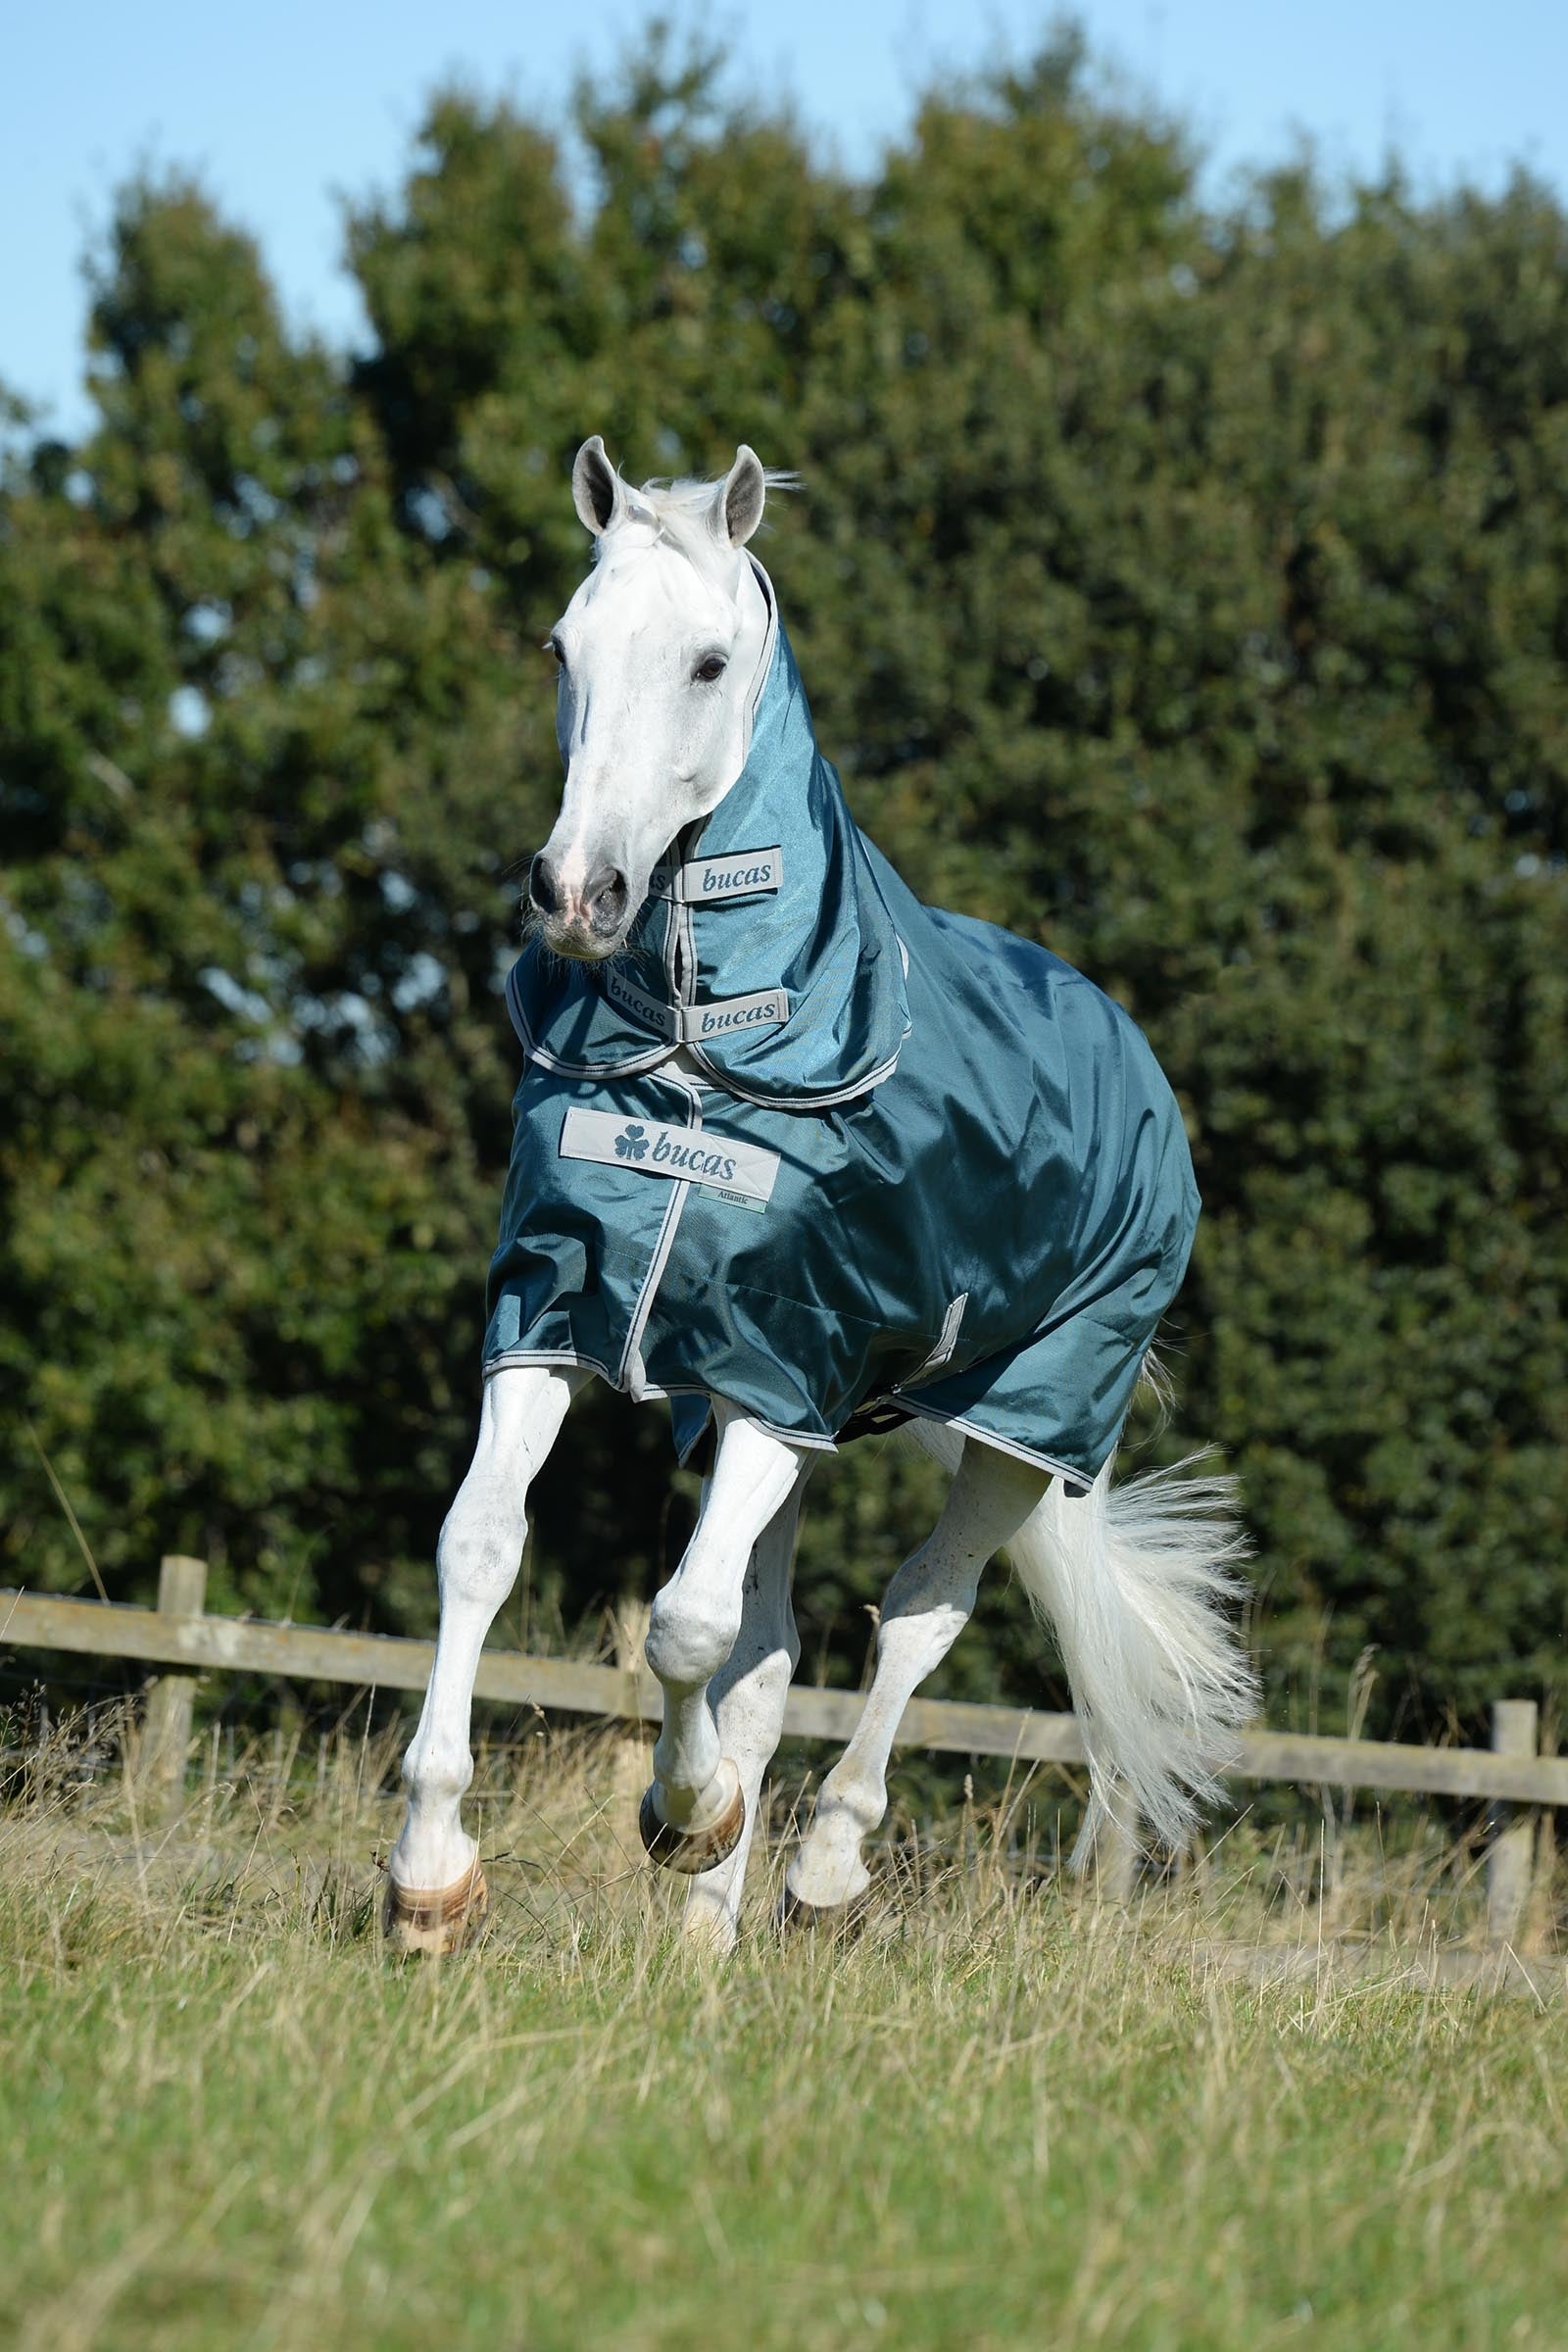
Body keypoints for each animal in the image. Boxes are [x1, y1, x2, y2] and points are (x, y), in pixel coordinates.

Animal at [383, 439, 1256, 1955]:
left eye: (709, 661)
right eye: (562, 645)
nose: (576, 891)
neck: (701, 1045)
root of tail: (1127, 1049)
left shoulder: (778, 1365)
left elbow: (683, 1624)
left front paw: (681, 1815)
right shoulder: (560, 1318)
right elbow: (484, 1550)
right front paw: (432, 1873)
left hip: (1019, 1424)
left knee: (916, 1618)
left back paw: (820, 1870)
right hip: (800, 1427)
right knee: (775, 1646)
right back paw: (706, 1933)